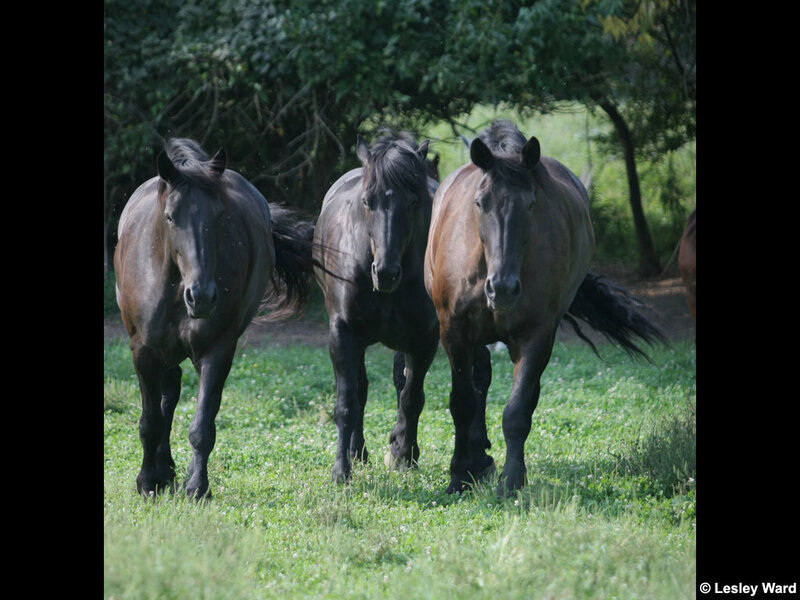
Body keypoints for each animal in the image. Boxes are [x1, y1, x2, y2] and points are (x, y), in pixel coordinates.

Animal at [114, 138, 319, 500]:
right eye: (170, 217)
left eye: (220, 216)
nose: (202, 296)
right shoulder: (144, 352)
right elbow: (150, 421)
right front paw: (148, 481)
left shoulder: (217, 350)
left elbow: (202, 426)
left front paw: (197, 486)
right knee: (168, 393)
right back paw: (162, 469)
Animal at [312, 130, 440, 483]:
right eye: (368, 201)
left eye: (413, 202)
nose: (385, 272)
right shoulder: (343, 334)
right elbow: (347, 402)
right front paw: (341, 469)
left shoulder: (425, 339)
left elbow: (411, 397)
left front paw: (403, 454)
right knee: (361, 389)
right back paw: (358, 452)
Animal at [422, 120, 665, 496]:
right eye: (479, 202)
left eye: (531, 204)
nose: (503, 288)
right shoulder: (454, 332)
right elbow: (462, 402)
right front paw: (459, 476)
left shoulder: (536, 335)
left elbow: (518, 410)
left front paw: (511, 480)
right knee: (478, 385)